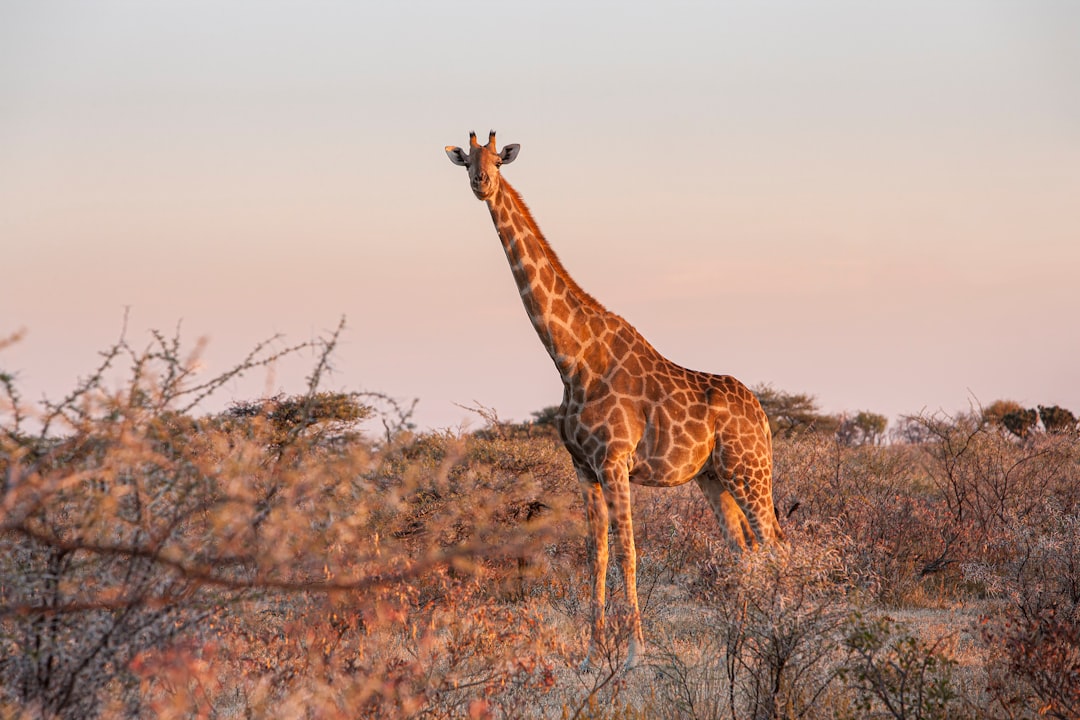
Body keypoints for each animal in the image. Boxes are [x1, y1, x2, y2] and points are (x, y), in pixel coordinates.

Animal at [445, 131, 785, 669]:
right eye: (467, 160)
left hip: (749, 470)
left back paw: (780, 632)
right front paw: (591, 653)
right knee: (744, 549)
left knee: (774, 545)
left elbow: (628, 550)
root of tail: (764, 416)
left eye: (497, 159)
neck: (572, 357)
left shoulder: (615, 461)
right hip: (713, 477)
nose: (481, 183)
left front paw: (633, 653)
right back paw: (745, 642)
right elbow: (596, 553)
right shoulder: (583, 467)